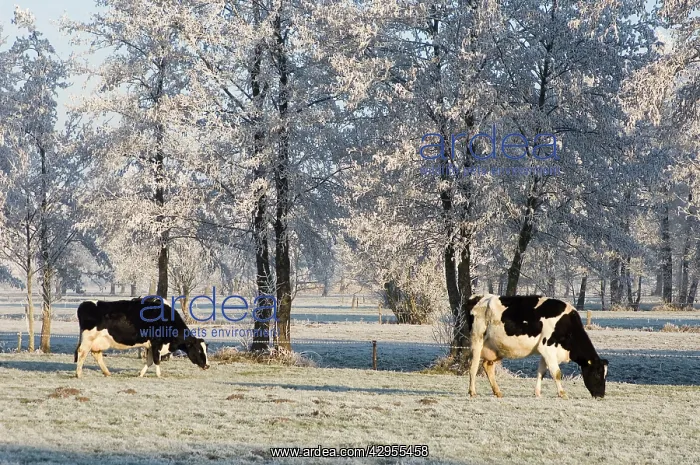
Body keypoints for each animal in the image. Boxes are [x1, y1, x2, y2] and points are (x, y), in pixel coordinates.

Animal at [74, 297, 209, 378]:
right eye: (199, 350)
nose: (207, 365)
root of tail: (85, 303)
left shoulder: (150, 345)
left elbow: (149, 361)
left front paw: (141, 373)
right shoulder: (156, 343)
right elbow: (156, 360)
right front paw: (159, 375)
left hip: (98, 341)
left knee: (96, 355)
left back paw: (107, 373)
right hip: (88, 339)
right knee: (82, 353)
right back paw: (79, 374)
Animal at [467, 294, 608, 399]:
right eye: (597, 374)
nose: (601, 395)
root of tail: (480, 297)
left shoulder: (545, 351)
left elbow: (541, 372)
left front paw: (537, 393)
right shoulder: (547, 347)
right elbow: (556, 373)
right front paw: (562, 394)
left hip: (496, 347)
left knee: (487, 366)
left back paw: (498, 392)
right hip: (477, 339)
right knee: (473, 366)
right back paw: (472, 392)